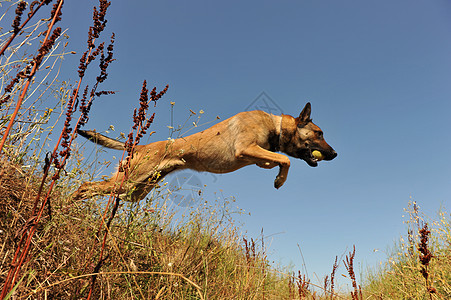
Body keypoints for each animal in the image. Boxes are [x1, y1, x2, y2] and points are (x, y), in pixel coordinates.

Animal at [73, 102, 336, 203]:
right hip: (127, 181)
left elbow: (276, 159)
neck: (276, 126)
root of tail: (140, 146)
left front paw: (276, 173)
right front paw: (280, 180)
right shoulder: (246, 148)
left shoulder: (256, 154)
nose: (335, 154)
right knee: (84, 187)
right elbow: (284, 159)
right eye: (319, 133)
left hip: (134, 191)